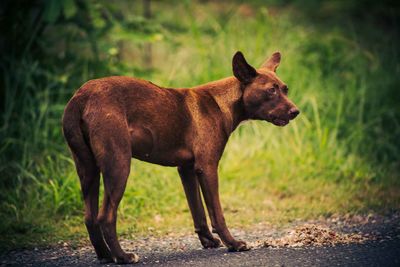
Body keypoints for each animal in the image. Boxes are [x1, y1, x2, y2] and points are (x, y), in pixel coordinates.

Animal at [62, 51, 300, 264]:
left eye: (285, 89)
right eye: (271, 91)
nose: (295, 112)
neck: (223, 102)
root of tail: (80, 98)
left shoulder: (186, 169)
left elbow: (197, 210)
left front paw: (208, 240)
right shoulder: (207, 167)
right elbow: (216, 212)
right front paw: (232, 243)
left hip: (88, 169)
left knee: (90, 218)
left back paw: (105, 255)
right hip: (118, 164)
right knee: (105, 217)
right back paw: (122, 257)